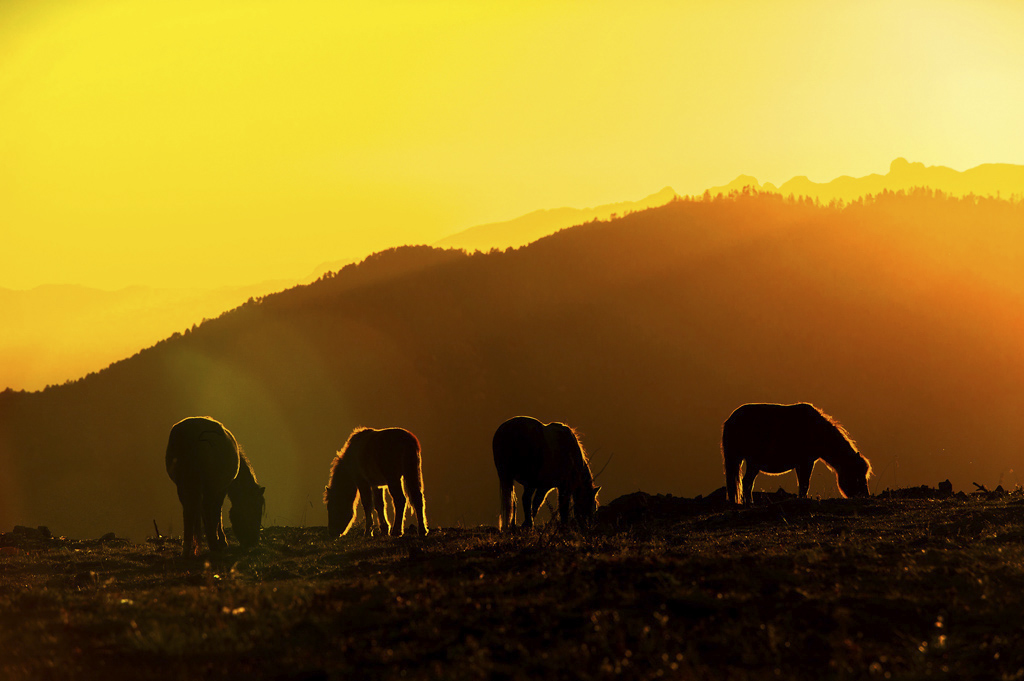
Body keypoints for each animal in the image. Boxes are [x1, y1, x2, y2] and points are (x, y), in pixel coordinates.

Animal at [163, 417, 264, 557]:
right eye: (256, 509)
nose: (253, 541)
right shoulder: (221, 489)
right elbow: (217, 513)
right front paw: (221, 541)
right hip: (208, 487)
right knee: (206, 508)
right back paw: (213, 545)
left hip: (183, 486)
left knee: (188, 512)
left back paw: (187, 549)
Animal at [720, 399, 872, 503]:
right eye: (857, 475)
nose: (865, 496)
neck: (817, 430)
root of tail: (730, 420)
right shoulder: (806, 462)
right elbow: (804, 484)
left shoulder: (801, 464)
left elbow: (803, 484)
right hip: (750, 462)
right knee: (745, 483)